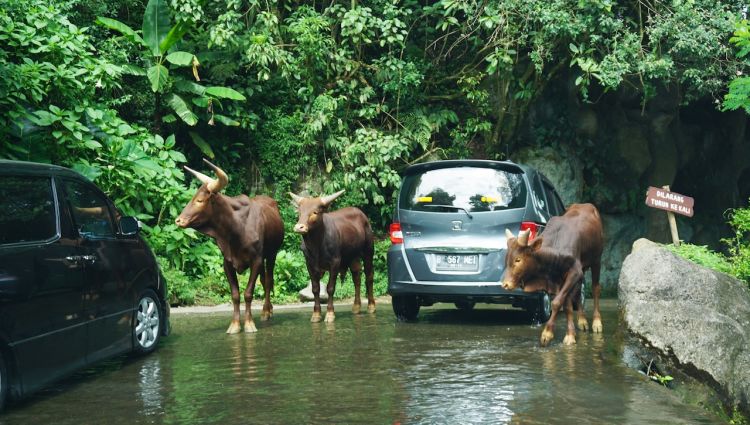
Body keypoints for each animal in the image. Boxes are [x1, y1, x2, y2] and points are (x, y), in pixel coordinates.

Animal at [176, 158, 284, 332]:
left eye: (200, 200)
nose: (178, 220)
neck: (236, 229)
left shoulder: (256, 260)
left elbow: (248, 293)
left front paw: (249, 323)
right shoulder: (227, 262)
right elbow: (235, 295)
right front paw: (234, 325)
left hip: (271, 254)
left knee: (268, 281)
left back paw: (266, 311)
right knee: (263, 280)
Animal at [288, 189, 376, 322]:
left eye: (315, 212)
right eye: (300, 212)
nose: (299, 227)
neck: (316, 246)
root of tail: (361, 214)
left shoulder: (335, 262)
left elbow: (330, 288)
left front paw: (330, 313)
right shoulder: (309, 264)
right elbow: (315, 289)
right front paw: (316, 314)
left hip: (368, 252)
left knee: (369, 276)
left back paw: (371, 306)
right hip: (353, 257)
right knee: (356, 277)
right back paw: (356, 306)